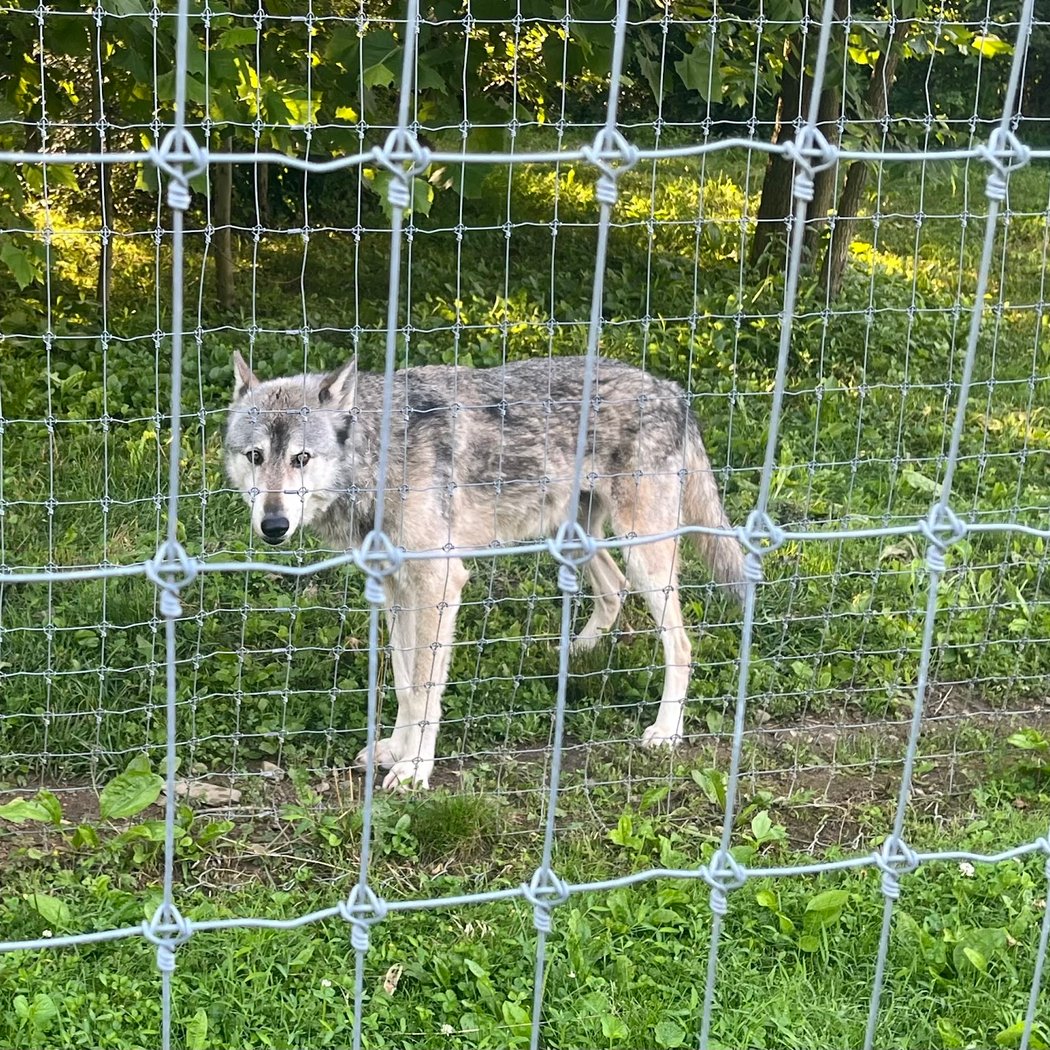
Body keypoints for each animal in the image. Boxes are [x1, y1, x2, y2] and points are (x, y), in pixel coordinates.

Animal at [224, 351, 745, 789]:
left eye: (301, 458)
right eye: (255, 456)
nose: (273, 525)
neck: (378, 457)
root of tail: (672, 390)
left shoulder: (439, 585)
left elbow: (426, 688)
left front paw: (415, 770)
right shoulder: (395, 588)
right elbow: (406, 683)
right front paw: (394, 750)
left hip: (642, 554)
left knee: (681, 644)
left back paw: (665, 730)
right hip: (573, 539)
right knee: (613, 589)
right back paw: (575, 654)